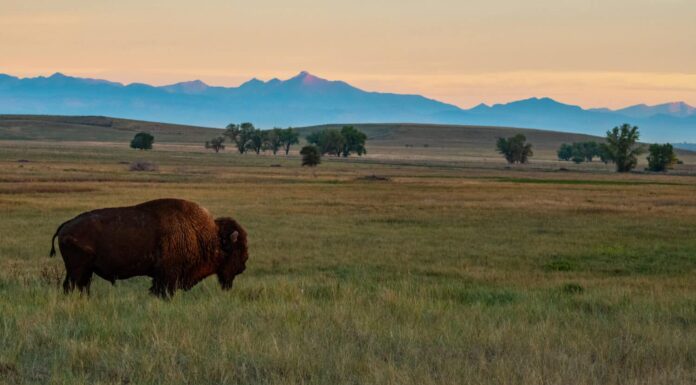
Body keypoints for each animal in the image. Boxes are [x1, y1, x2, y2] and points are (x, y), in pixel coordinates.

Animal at [47, 198, 247, 296]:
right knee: (74, 286)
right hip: (79, 270)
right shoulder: (167, 276)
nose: (244, 265)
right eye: (237, 249)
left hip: (82, 271)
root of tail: (66, 225)